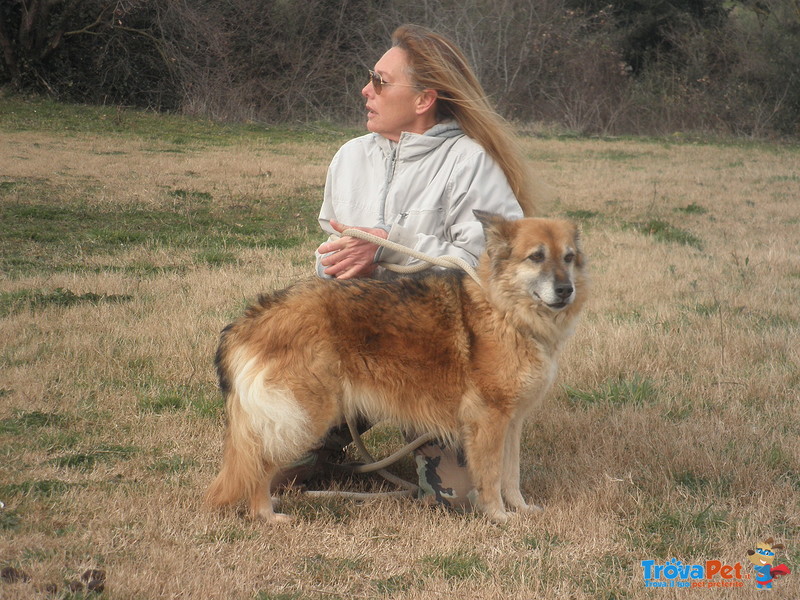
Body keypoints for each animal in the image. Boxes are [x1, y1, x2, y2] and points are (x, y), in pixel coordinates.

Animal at [206, 213, 588, 524]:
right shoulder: (489, 421)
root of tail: (251, 319)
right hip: (304, 416)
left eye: (568, 257)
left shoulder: (511, 422)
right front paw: (499, 516)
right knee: (260, 465)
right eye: (536, 257)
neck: (505, 310)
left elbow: (511, 474)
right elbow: (492, 476)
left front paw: (520, 509)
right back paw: (266, 514)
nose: (565, 290)